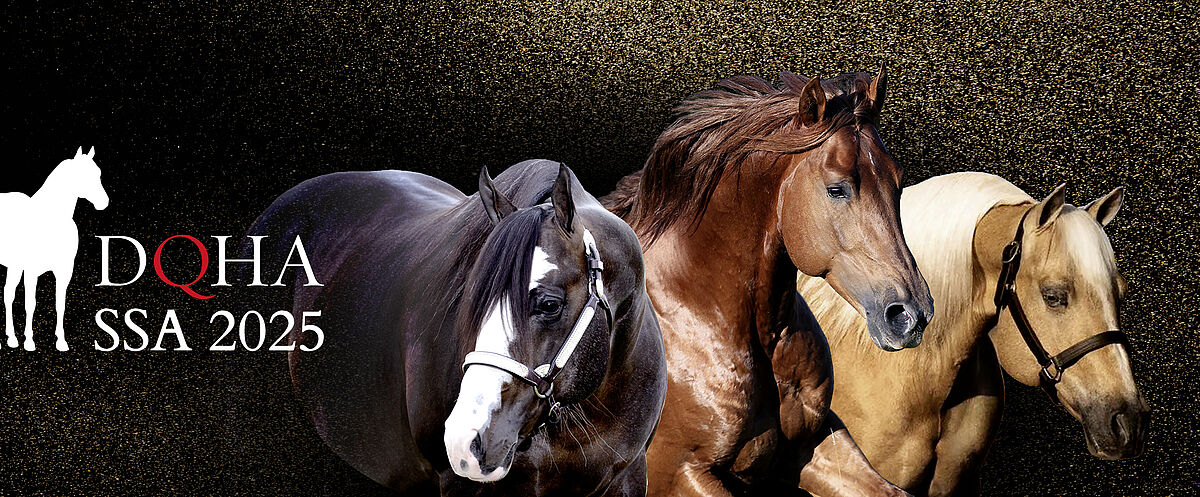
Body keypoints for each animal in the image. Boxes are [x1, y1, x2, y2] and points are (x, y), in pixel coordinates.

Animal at [0, 146, 109, 351]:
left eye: (98, 174)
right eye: (81, 175)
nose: (103, 202)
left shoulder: (64, 270)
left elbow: (60, 304)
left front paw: (61, 341)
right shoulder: (31, 271)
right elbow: (30, 303)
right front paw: (30, 341)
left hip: (14, 266)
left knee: (8, 293)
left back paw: (11, 338)